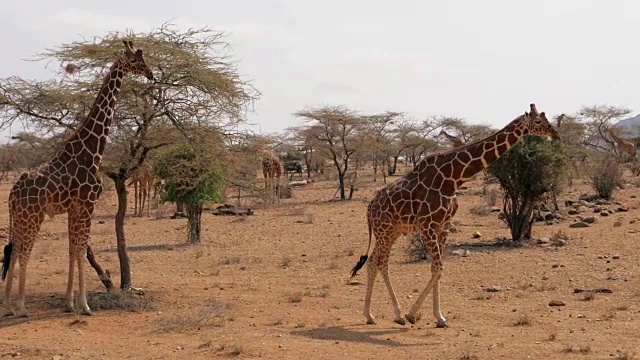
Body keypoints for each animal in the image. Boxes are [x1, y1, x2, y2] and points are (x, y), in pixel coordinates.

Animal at [0, 40, 155, 318]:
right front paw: (85, 305)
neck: (92, 151)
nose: (151, 74)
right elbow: (81, 251)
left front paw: (70, 304)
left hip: (19, 216)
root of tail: (12, 193)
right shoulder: (87, 205)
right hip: (33, 215)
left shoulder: (74, 208)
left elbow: (72, 250)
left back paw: (8, 305)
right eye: (135, 61)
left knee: (14, 249)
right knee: (23, 251)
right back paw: (22, 307)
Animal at [350, 102, 560, 328]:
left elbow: (437, 269)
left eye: (546, 118)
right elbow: (438, 269)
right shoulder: (428, 225)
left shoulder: (443, 225)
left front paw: (439, 318)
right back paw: (382, 315)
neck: (454, 178)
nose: (556, 134)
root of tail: (370, 207)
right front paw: (412, 314)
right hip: (384, 230)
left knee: (377, 262)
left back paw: (379, 315)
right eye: (538, 121)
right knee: (377, 262)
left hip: (393, 231)